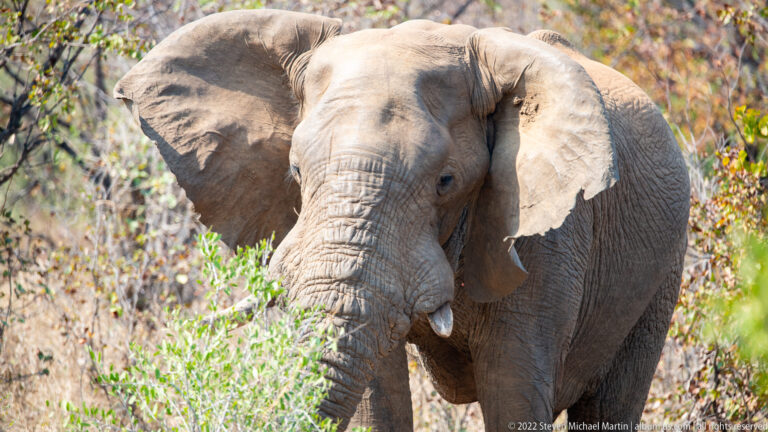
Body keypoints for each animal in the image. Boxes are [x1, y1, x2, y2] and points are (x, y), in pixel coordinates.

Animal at [114, 9, 690, 431]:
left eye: (446, 182)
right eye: (295, 171)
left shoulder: (548, 239)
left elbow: (514, 396)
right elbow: (377, 398)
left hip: (663, 270)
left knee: (611, 405)